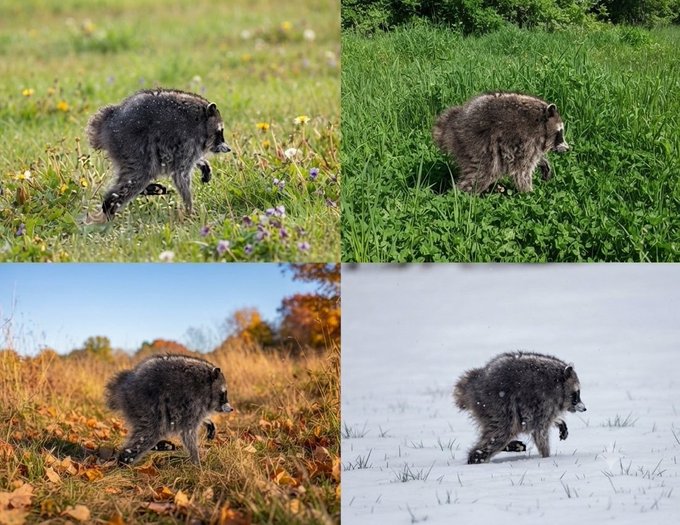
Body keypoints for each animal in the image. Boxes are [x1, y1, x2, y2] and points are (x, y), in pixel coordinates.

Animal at [86, 88, 231, 222]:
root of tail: (109, 118)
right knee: (139, 175)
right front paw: (190, 210)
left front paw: (202, 163)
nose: (228, 149)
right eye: (220, 131)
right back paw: (108, 207)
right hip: (131, 144)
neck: (201, 119)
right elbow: (181, 175)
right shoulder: (188, 141)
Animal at [105, 354, 233, 465]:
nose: (231, 409)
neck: (206, 384)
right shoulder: (193, 403)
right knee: (149, 432)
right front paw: (196, 461)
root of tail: (124, 385)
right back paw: (124, 460)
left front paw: (207, 421)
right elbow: (188, 432)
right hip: (144, 404)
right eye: (224, 394)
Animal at [433, 92, 569, 194]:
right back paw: (461, 196)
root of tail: (453, 123)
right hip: (477, 143)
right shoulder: (528, 140)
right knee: (482, 173)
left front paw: (544, 163)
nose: (568, 149)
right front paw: (529, 193)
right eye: (560, 133)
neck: (542, 123)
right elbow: (522, 171)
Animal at [453, 351, 585, 464]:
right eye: (576, 394)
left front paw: (559, 421)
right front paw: (546, 457)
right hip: (497, 404)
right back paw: (477, 457)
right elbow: (539, 432)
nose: (584, 408)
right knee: (502, 431)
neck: (558, 383)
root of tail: (473, 384)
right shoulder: (544, 403)